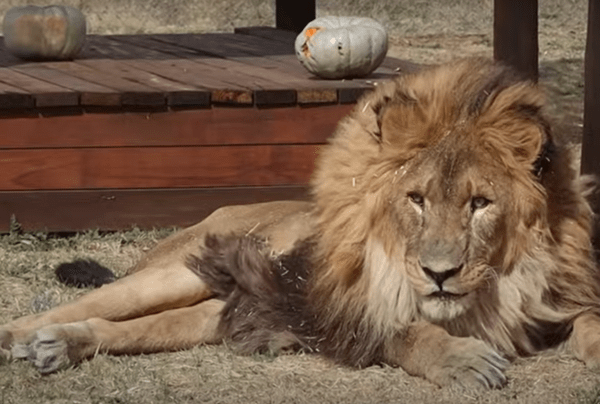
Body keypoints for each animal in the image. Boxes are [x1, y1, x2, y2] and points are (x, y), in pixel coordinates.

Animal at [1, 57, 600, 388]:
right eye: (417, 200)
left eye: (480, 203)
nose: (439, 274)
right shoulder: (330, 311)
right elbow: (405, 332)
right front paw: (460, 359)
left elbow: (588, 318)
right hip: (178, 273)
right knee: (79, 308)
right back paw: (25, 338)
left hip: (224, 305)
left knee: (131, 328)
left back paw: (59, 347)